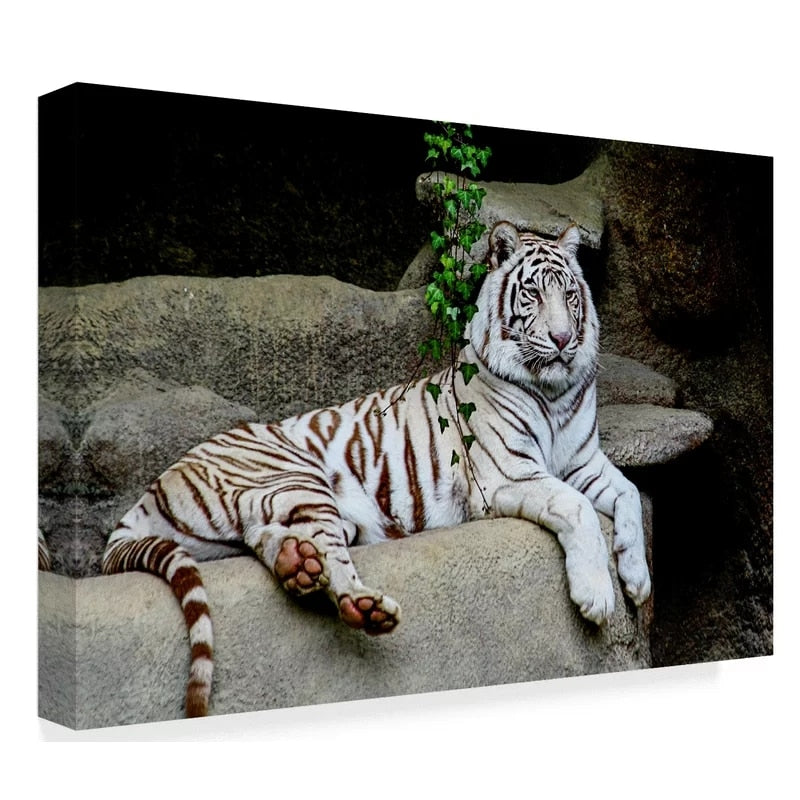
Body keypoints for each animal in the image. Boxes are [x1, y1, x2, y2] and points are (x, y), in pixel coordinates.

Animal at [102, 220, 651, 718]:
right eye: (534, 294)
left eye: (571, 296)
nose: (562, 339)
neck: (554, 392)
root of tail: (153, 487)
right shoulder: (509, 473)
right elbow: (578, 508)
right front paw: (597, 596)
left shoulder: (584, 461)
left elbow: (628, 493)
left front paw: (637, 579)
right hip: (297, 478)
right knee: (331, 559)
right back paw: (361, 603)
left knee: (268, 536)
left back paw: (295, 564)